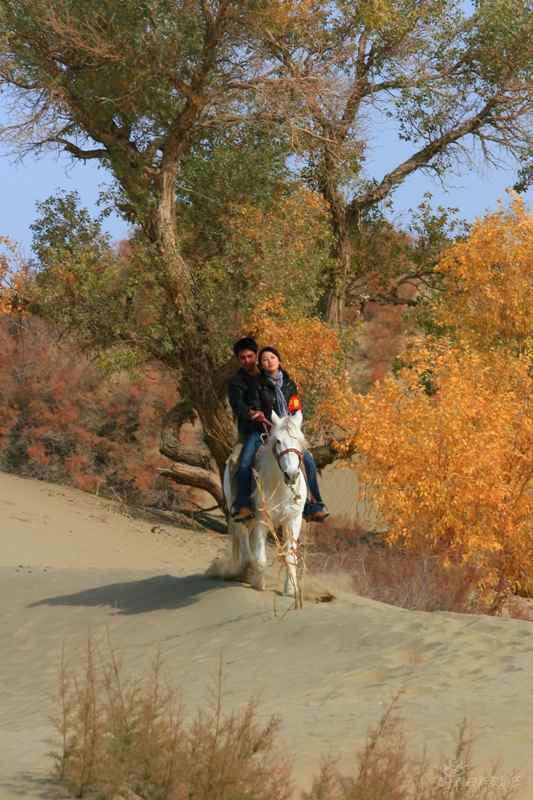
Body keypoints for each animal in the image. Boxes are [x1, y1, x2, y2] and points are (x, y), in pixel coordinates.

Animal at [222, 410, 306, 596]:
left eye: (300, 439)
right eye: (278, 441)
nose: (292, 475)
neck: (279, 486)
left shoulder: (293, 520)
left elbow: (290, 555)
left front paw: (291, 589)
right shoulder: (262, 521)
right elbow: (260, 557)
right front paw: (259, 584)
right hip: (239, 518)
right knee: (245, 546)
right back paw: (249, 573)